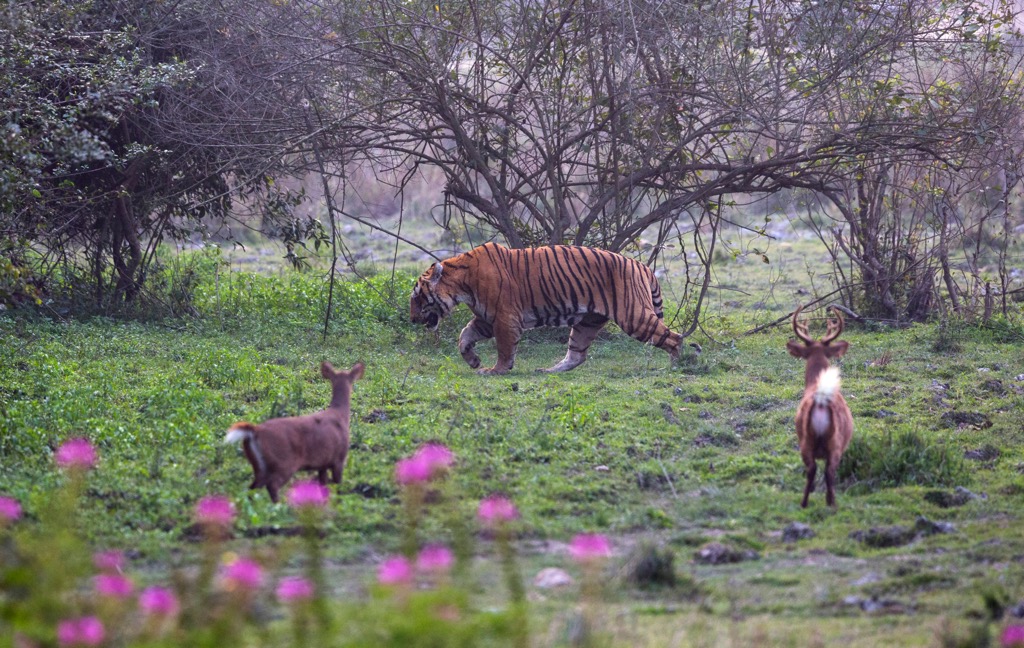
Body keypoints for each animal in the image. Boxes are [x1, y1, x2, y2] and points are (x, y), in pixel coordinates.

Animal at [224, 362, 364, 503]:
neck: (340, 415)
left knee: (252, 487)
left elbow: (323, 487)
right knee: (272, 485)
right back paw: (281, 505)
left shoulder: (323, 463)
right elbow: (338, 486)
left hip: (259, 466)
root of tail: (255, 431)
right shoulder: (339, 458)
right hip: (283, 462)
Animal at [407, 241, 696, 374]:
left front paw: (496, 370)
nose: (411, 319)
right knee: (577, 355)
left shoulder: (504, 318)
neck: (461, 283)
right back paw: (548, 370)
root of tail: (641, 265)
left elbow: (504, 348)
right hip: (587, 322)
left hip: (634, 317)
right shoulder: (486, 319)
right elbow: (464, 336)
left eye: (417, 297)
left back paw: (675, 366)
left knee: (674, 337)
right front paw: (474, 361)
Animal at [786, 305, 851, 507]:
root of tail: (821, 402)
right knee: (826, 471)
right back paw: (830, 503)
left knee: (812, 469)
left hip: (806, 442)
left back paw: (806, 502)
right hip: (832, 444)